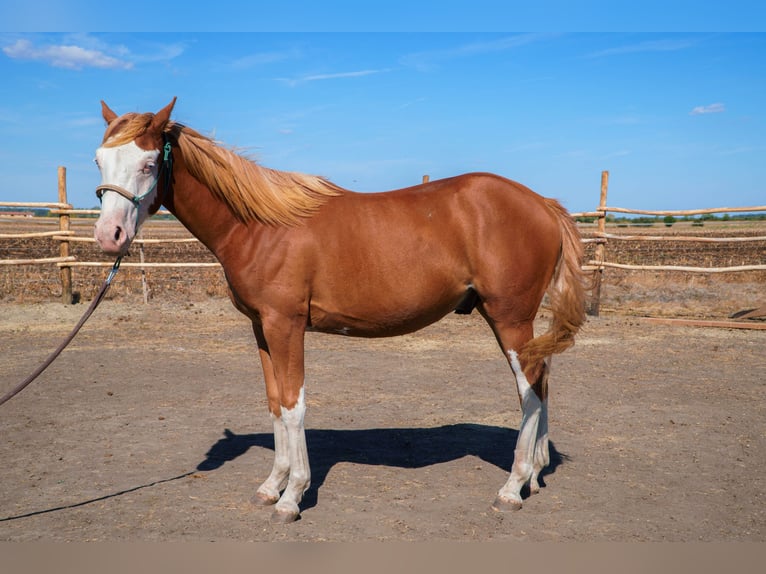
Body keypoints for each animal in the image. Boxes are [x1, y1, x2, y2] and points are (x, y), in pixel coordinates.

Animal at [93, 97, 587, 523]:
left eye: (149, 163)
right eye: (99, 160)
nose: (109, 236)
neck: (259, 227)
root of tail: (542, 203)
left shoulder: (286, 326)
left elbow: (294, 405)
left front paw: (292, 496)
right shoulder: (261, 329)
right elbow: (275, 402)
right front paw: (271, 485)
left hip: (510, 318)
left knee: (530, 389)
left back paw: (513, 487)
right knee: (541, 382)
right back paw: (535, 476)